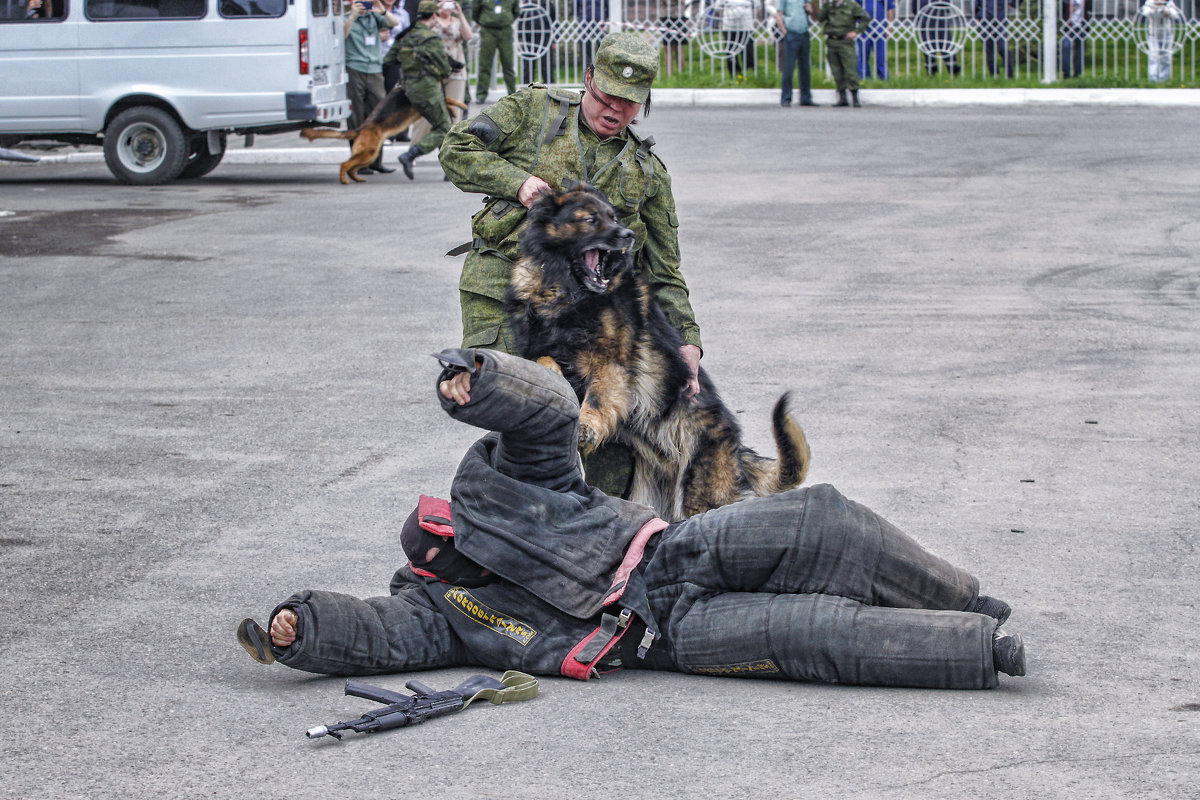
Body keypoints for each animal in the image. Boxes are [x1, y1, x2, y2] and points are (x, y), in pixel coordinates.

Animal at [302, 87, 465, 184]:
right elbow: (448, 99)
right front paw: (460, 106)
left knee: (352, 167)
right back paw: (344, 180)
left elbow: (447, 101)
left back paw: (358, 178)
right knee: (345, 165)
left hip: (369, 155)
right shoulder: (424, 105)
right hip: (367, 153)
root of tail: (360, 128)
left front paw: (455, 109)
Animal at [501, 183, 811, 522]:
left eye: (613, 217)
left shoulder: (612, 363)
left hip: (698, 495)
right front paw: (554, 377)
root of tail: (737, 449)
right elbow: (544, 359)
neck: (567, 292)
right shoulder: (537, 346)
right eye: (590, 220)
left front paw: (585, 425)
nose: (628, 235)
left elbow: (597, 395)